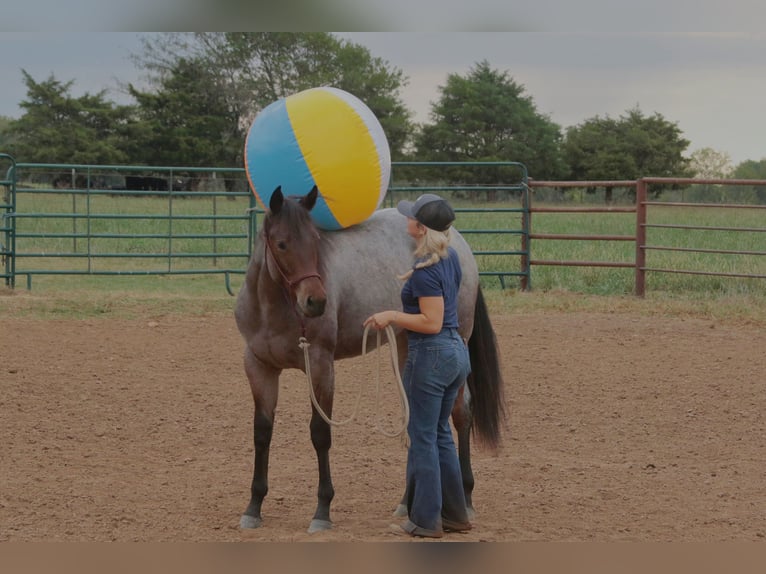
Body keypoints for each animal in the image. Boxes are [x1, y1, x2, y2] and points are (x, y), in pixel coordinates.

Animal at [234, 185, 506, 533]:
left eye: (316, 240)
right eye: (282, 243)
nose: (316, 302)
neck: (273, 306)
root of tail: (454, 241)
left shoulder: (321, 366)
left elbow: (320, 433)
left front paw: (322, 510)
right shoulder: (258, 366)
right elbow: (262, 432)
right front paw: (254, 506)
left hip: (458, 337)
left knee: (460, 412)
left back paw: (466, 499)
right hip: (406, 346)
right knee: (418, 416)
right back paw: (407, 503)